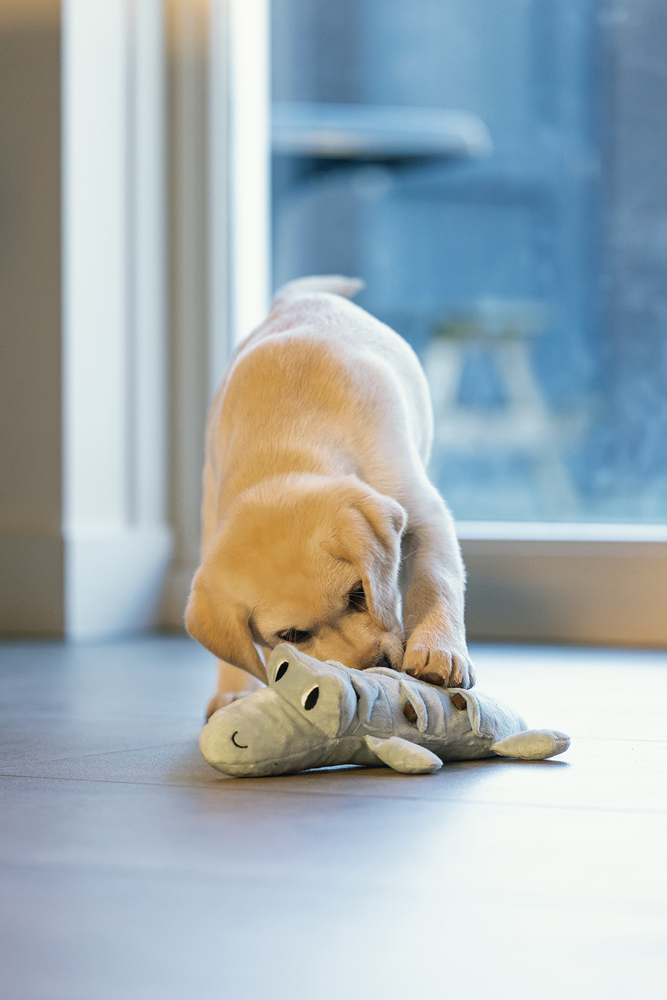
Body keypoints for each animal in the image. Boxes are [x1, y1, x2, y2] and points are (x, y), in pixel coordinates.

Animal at [185, 276, 472, 720]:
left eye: (358, 594)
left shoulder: (424, 513)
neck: (283, 449)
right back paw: (233, 692)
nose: (376, 667)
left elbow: (435, 580)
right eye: (292, 634)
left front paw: (437, 650)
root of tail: (295, 299)